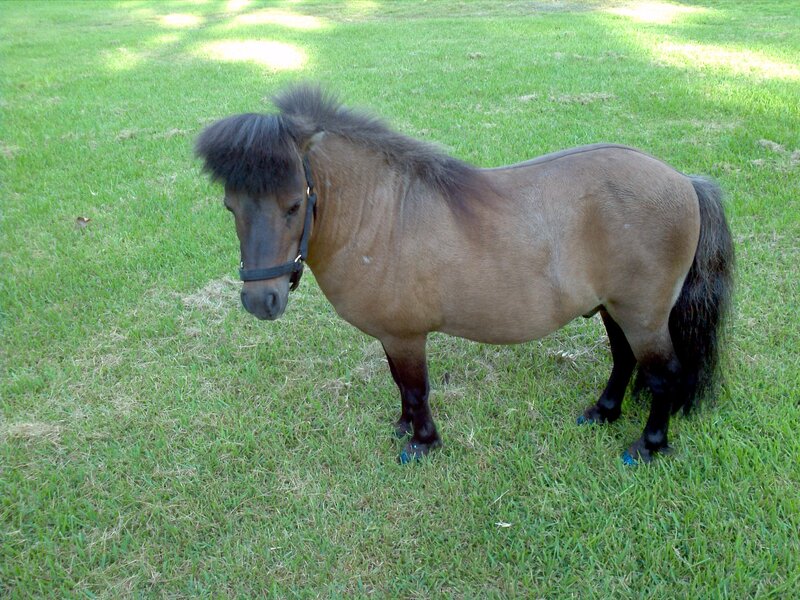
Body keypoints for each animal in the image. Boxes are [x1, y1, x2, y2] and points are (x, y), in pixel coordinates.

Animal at [195, 85, 734, 465]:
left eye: (293, 205)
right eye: (230, 206)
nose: (260, 301)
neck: (382, 214)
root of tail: (684, 181)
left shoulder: (405, 335)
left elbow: (415, 386)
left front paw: (422, 442)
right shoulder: (393, 336)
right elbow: (399, 384)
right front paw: (404, 425)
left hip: (643, 315)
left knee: (663, 374)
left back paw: (649, 445)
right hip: (612, 307)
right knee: (624, 360)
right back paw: (603, 412)